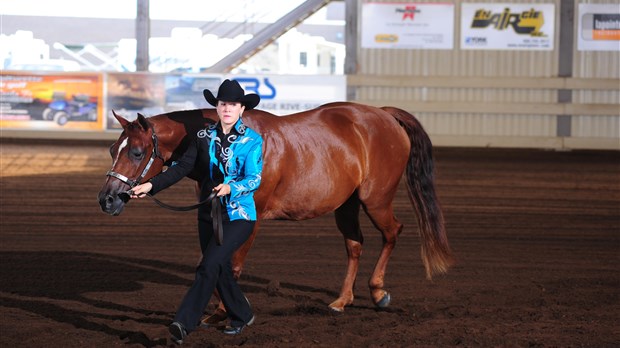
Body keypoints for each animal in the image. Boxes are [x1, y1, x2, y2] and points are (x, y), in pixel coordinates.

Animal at [98, 102, 456, 314]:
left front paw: (223, 312)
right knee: (354, 244)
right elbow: (213, 261)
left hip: (376, 199)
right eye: (114, 148)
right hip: (347, 204)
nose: (107, 198)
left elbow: (232, 264)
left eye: (137, 152)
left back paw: (378, 292)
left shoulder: (249, 218)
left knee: (393, 232)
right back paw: (342, 300)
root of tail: (383, 114)